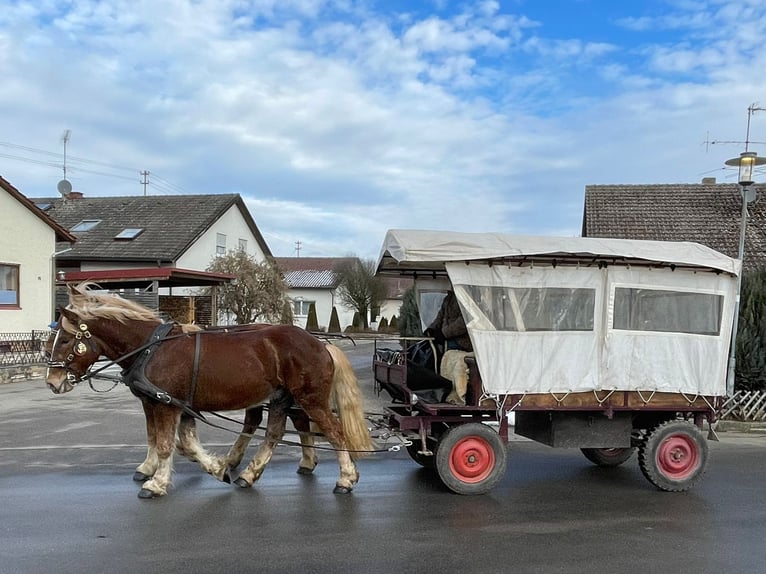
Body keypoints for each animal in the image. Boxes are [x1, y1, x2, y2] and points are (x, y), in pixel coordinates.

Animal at [45, 286, 376, 502]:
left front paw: (156, 482)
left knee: (334, 432)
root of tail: (320, 343)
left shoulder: (167, 406)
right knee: (273, 432)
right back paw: (250, 473)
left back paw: (346, 478)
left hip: (310, 398)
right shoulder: (165, 404)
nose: (52, 380)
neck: (150, 347)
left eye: (65, 340)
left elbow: (165, 445)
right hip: (281, 397)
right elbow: (175, 442)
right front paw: (214, 468)